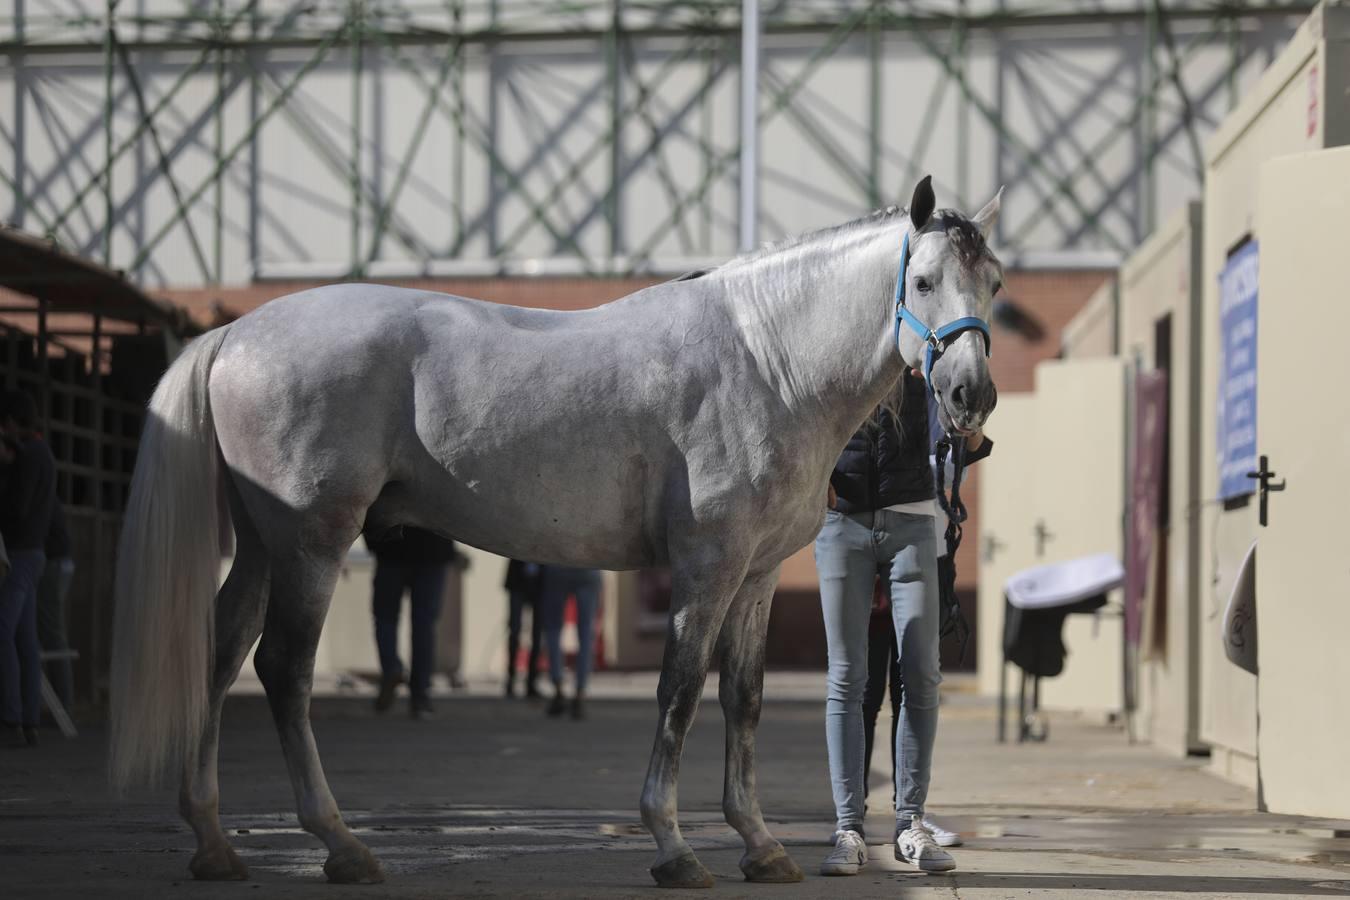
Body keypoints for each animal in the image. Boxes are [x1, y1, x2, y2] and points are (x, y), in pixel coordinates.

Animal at [108, 174, 1004, 885]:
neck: (764, 361)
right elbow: (680, 693)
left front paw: (759, 846)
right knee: (284, 673)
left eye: (992, 282)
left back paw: (215, 843)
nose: (971, 396)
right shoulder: (706, 568)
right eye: (924, 279)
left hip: (264, 545)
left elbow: (742, 701)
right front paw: (673, 847)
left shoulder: (751, 579)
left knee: (221, 655)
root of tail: (235, 333)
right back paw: (341, 846)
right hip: (313, 544)